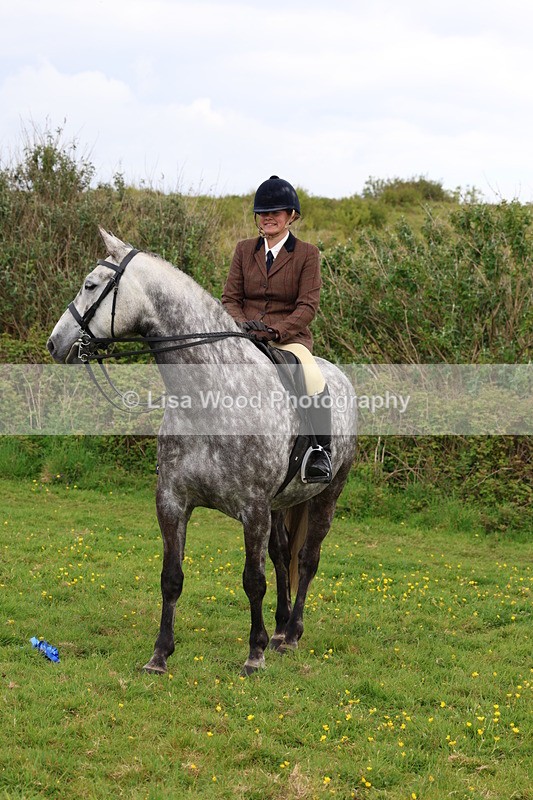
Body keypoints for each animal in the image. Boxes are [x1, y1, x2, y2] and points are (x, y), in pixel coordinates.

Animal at [47, 228, 357, 675]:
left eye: (90, 285)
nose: (55, 343)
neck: (209, 395)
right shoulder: (173, 501)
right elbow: (171, 577)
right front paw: (159, 655)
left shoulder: (253, 509)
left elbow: (253, 580)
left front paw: (254, 655)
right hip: (281, 503)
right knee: (283, 556)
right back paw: (281, 627)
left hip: (327, 494)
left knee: (307, 559)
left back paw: (290, 635)